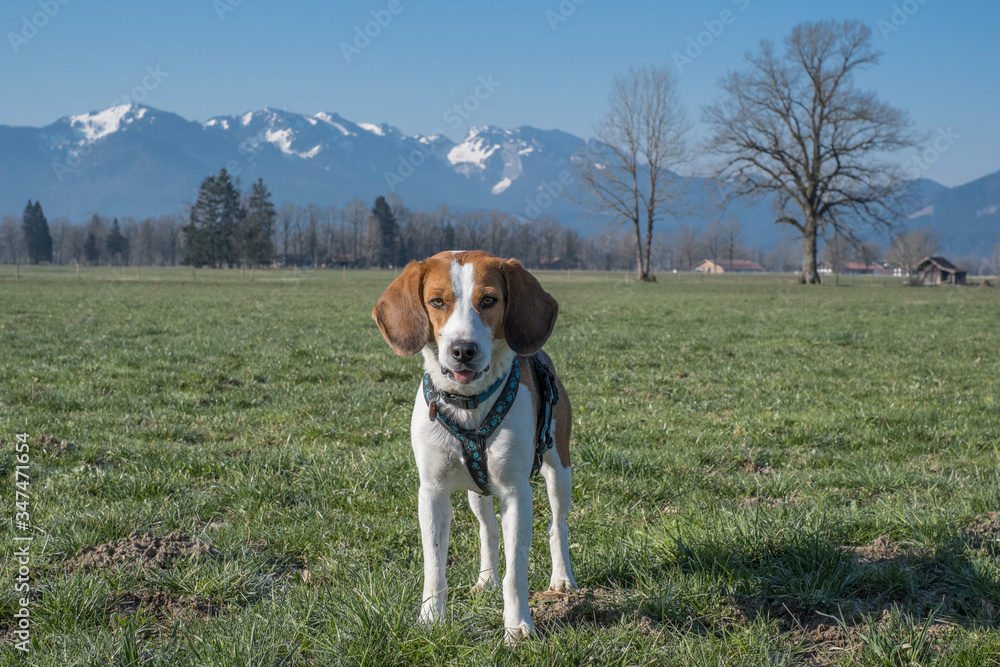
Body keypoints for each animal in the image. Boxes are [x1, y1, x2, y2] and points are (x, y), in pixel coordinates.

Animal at [374, 250, 580, 640]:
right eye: (437, 302)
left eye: (488, 300)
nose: (462, 350)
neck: (467, 403)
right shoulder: (432, 491)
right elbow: (434, 565)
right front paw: (431, 619)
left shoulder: (517, 492)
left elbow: (516, 571)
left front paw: (518, 625)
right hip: (477, 491)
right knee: (488, 530)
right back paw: (486, 580)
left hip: (559, 469)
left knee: (557, 526)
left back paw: (562, 579)